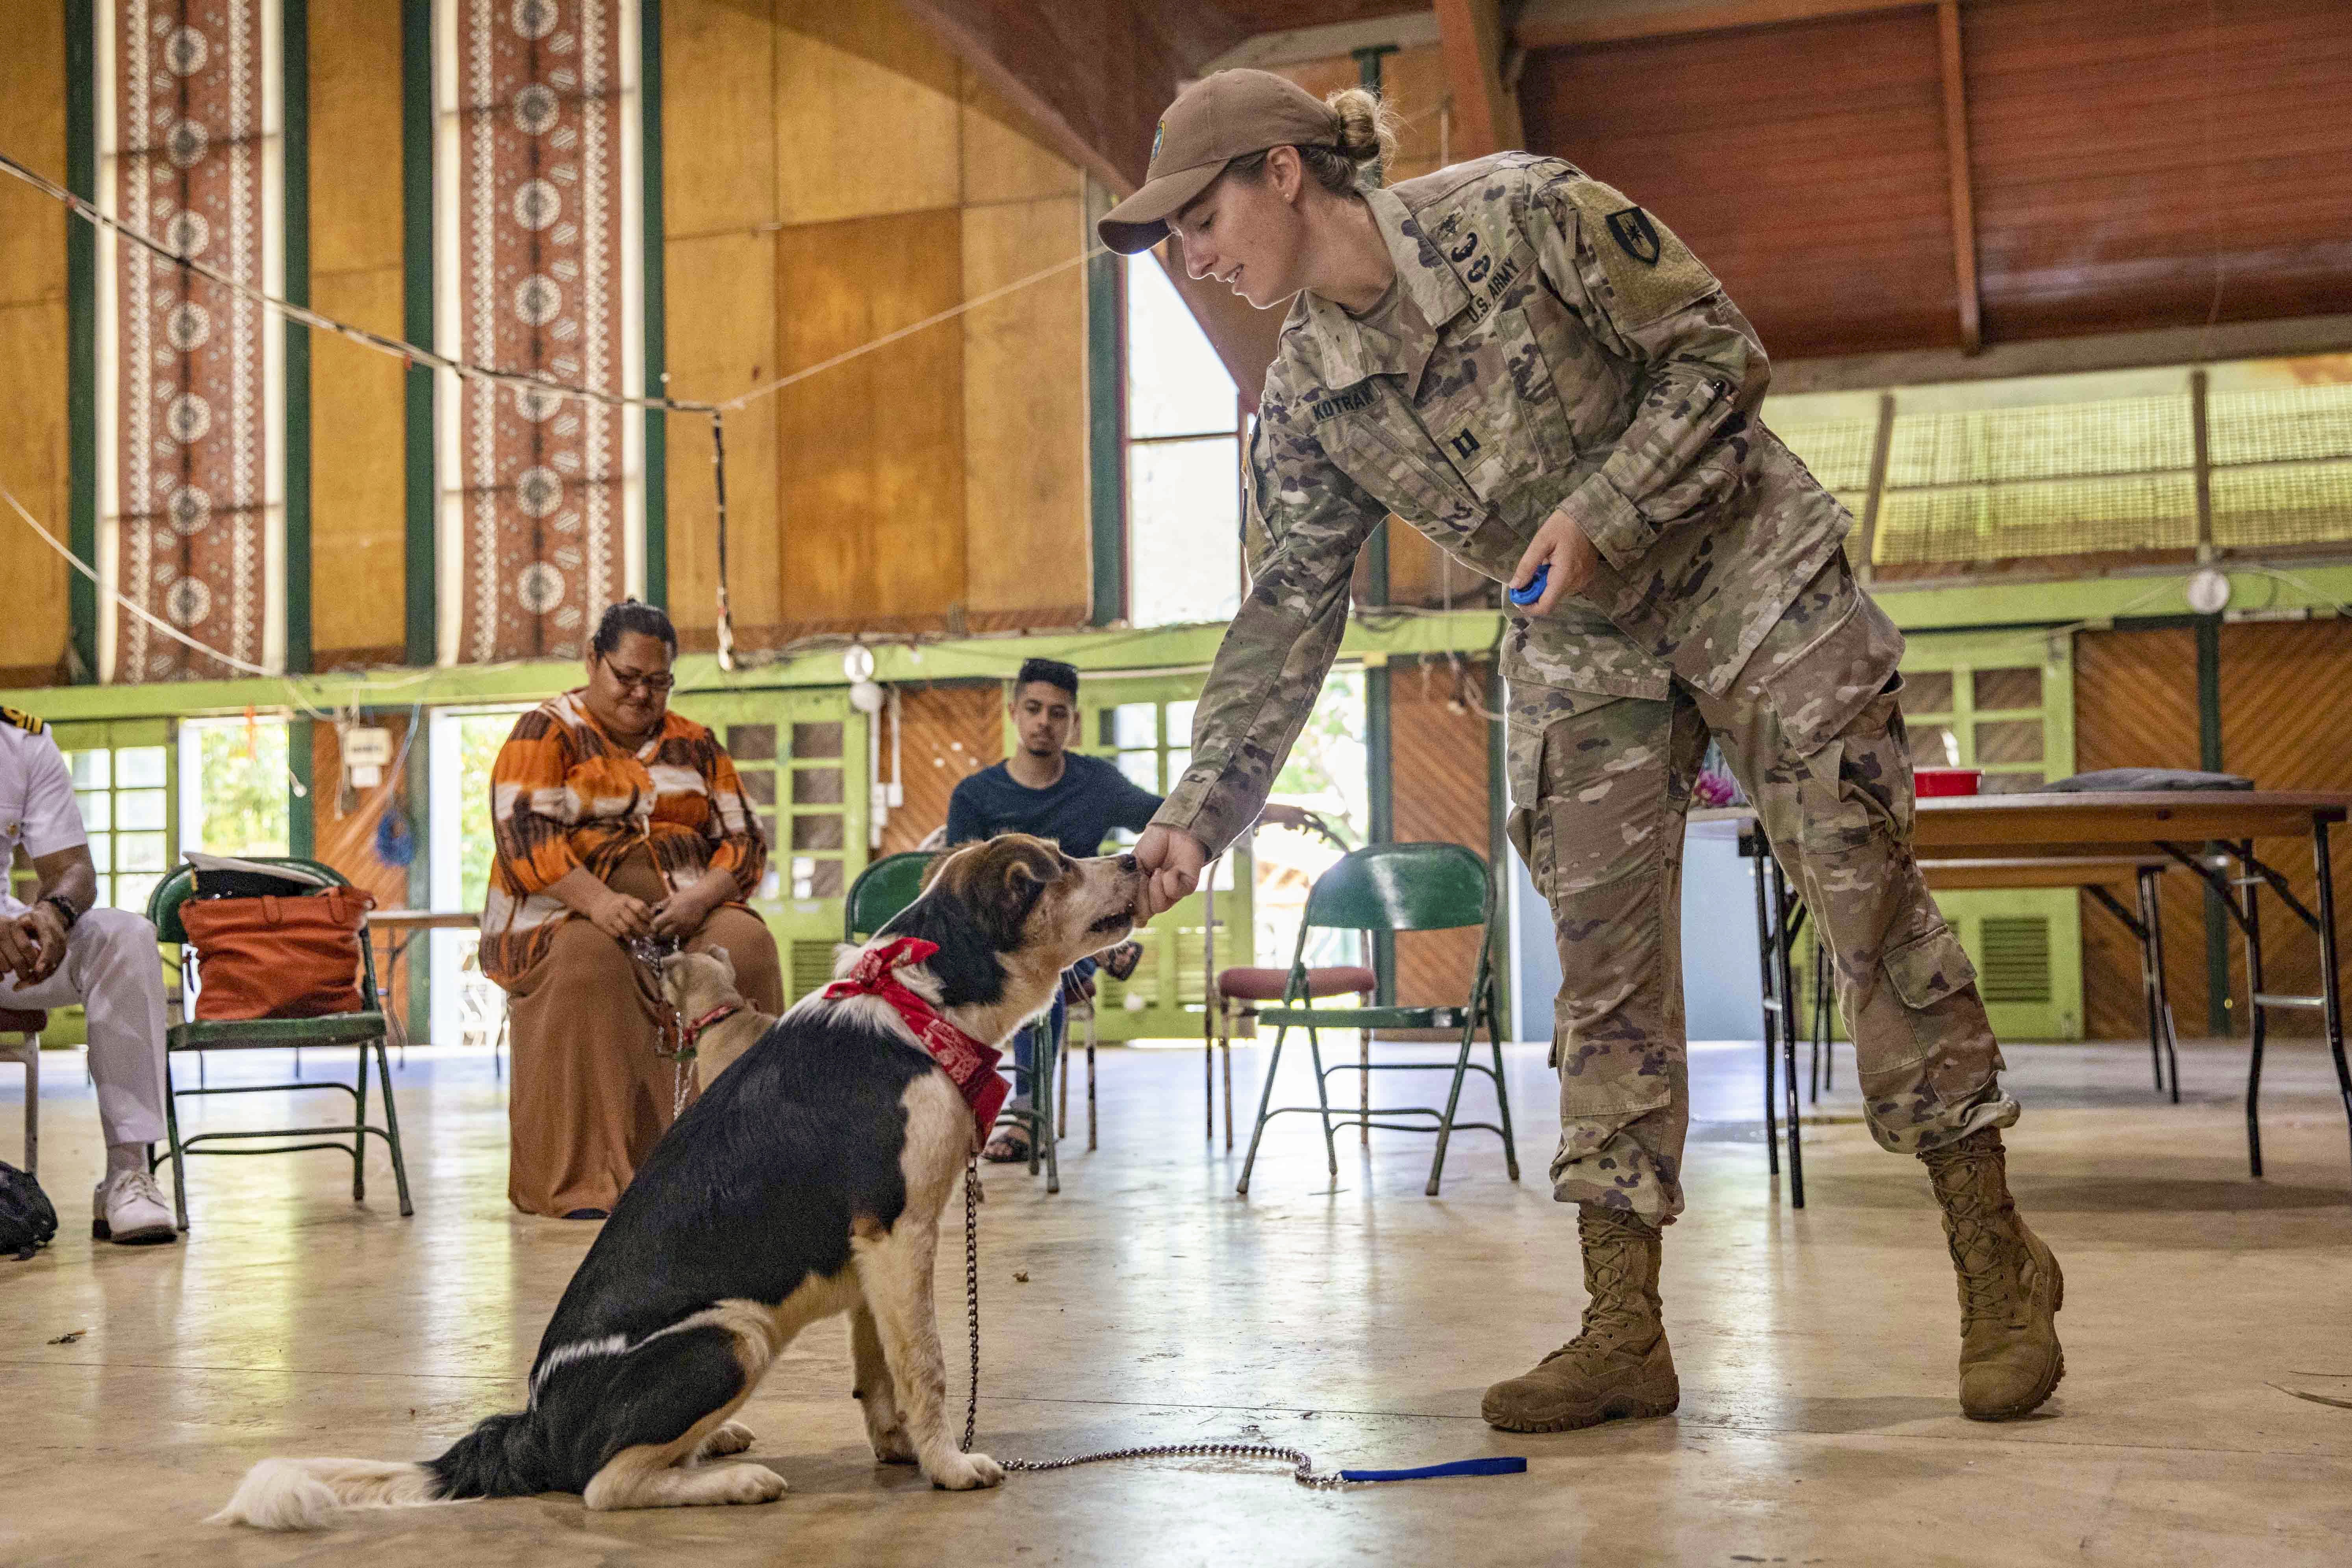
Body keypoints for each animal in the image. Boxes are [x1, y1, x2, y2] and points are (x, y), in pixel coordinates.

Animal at [219, 841, 1138, 1523]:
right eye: (1050, 869)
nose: (1134, 858)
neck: (920, 1009)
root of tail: (535, 1427)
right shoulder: (900, 1230)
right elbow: (931, 1367)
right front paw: (949, 1463)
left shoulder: (875, 1255)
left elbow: (883, 1372)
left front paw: (903, 1451)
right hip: (732, 1337)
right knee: (604, 1484)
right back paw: (733, 1480)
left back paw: (714, 1447)